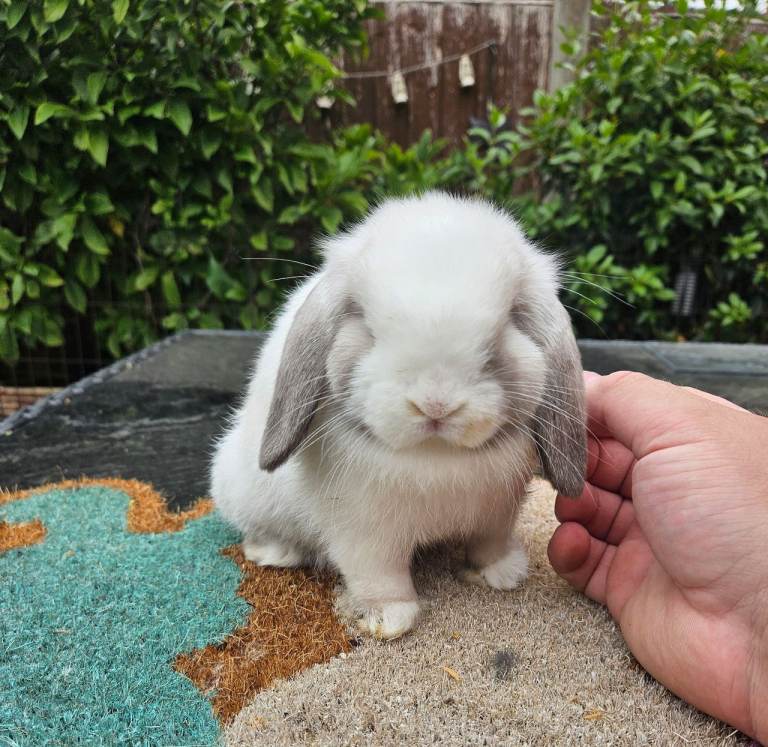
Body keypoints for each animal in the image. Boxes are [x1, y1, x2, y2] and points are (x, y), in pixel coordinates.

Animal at [210, 192, 586, 640]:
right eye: (368, 328)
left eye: (508, 323)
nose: (436, 404)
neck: (436, 456)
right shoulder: (365, 531)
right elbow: (378, 573)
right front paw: (389, 618)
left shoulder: (499, 511)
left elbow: (489, 542)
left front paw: (501, 573)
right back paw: (276, 551)